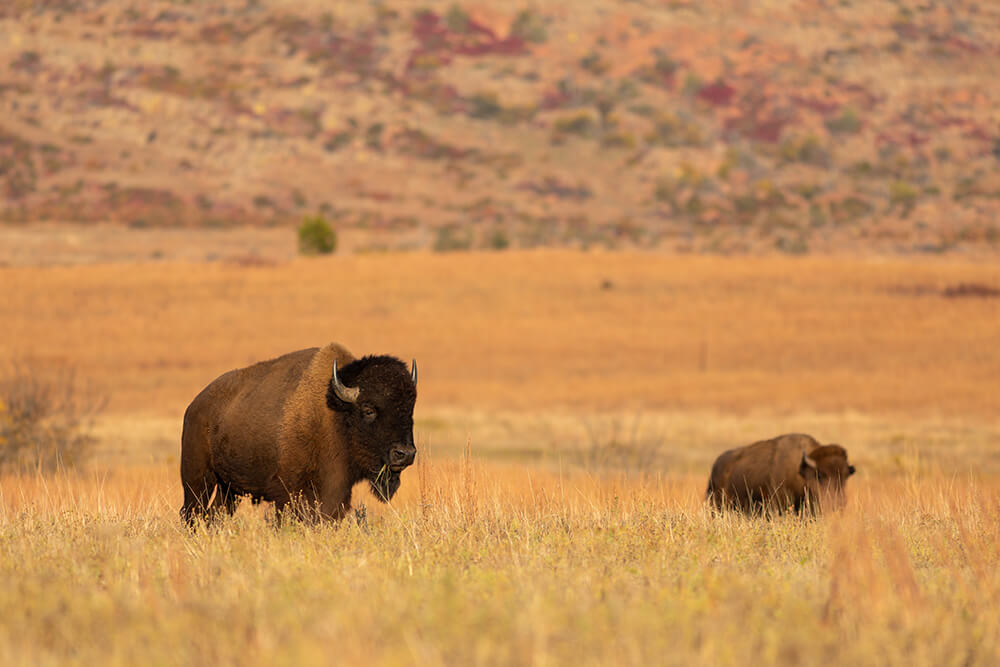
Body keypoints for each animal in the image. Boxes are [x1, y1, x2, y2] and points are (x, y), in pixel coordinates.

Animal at [180, 343, 417, 524]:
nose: (405, 454)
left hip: (228, 489)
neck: (335, 414)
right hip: (197, 480)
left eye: (410, 409)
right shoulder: (288, 494)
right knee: (192, 512)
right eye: (368, 410)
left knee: (215, 514)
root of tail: (194, 406)